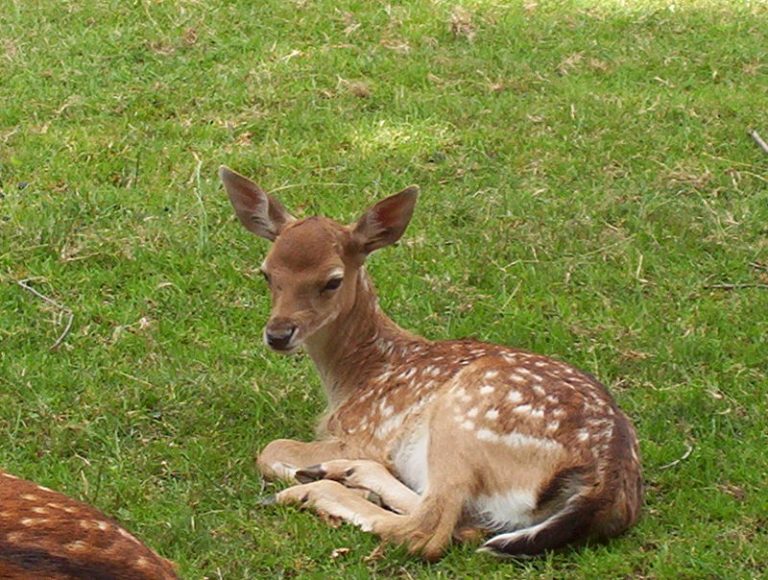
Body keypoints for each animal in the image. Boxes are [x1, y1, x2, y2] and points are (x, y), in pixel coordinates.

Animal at [220, 165, 640, 560]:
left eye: (332, 280)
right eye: (266, 273)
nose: (278, 334)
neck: (358, 376)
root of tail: (604, 482)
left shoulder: (364, 435)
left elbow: (271, 449)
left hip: (463, 420)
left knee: (429, 531)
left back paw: (311, 489)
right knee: (458, 520)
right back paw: (339, 474)